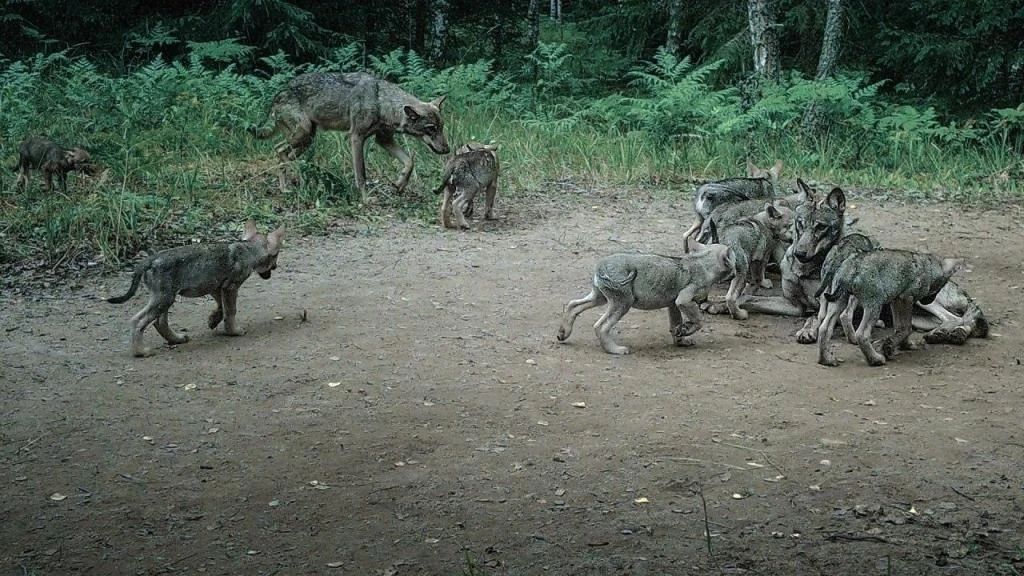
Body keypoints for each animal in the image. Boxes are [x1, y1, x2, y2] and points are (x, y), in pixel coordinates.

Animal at [107, 219, 284, 354]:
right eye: (275, 256)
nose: (275, 267)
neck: (248, 249)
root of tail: (149, 260)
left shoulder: (215, 287)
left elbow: (221, 308)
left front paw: (213, 320)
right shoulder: (230, 287)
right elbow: (231, 311)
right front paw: (234, 331)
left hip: (165, 299)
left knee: (159, 323)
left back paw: (176, 339)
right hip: (164, 299)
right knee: (137, 321)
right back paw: (141, 351)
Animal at [248, 70, 448, 192]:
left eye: (442, 127)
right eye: (431, 129)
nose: (447, 150)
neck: (381, 102)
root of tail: (279, 93)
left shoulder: (383, 140)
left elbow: (409, 162)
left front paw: (400, 184)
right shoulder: (356, 138)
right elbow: (361, 174)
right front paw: (364, 197)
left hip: (307, 139)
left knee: (285, 156)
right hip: (302, 135)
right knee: (278, 150)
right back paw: (285, 188)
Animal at [557, 237, 741, 354]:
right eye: (735, 260)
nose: (738, 269)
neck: (703, 263)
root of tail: (600, 265)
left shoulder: (673, 304)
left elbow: (675, 325)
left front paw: (681, 339)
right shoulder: (683, 300)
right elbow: (699, 321)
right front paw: (687, 330)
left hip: (600, 298)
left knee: (572, 305)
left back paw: (563, 333)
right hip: (622, 304)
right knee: (599, 326)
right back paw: (615, 350)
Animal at [811, 249, 962, 364]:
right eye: (941, 286)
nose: (928, 302)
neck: (926, 266)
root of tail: (853, 265)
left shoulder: (896, 300)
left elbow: (900, 327)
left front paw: (905, 345)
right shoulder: (905, 298)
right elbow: (906, 328)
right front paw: (890, 347)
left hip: (839, 303)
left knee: (824, 328)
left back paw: (826, 360)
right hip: (874, 305)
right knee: (861, 334)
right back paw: (875, 359)